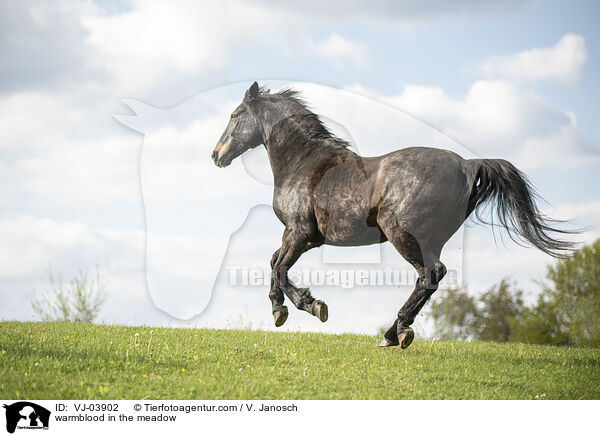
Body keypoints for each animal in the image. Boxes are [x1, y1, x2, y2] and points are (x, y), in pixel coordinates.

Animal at [212, 81, 576, 348]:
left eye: (235, 114)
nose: (216, 155)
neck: (305, 162)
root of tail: (466, 164)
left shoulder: (298, 232)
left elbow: (280, 268)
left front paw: (309, 306)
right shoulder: (308, 238)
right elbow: (274, 263)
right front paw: (283, 308)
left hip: (400, 232)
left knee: (431, 275)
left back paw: (396, 333)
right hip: (428, 239)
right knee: (429, 278)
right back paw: (393, 333)